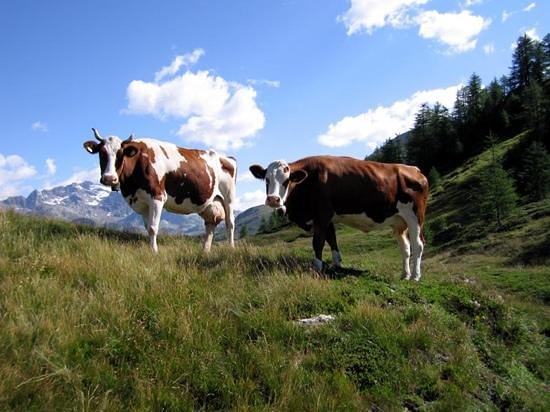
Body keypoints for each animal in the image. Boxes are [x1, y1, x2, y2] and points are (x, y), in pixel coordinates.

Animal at [84, 128, 237, 251]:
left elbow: (153, 228)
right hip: (208, 201)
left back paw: (231, 248)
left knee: (230, 222)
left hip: (229, 196)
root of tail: (226, 157)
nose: (109, 178)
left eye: (121, 154)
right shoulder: (143, 203)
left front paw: (154, 251)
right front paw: (150, 249)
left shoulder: (157, 196)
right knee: (211, 222)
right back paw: (205, 250)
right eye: (101, 153)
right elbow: (147, 228)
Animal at [251, 156, 432, 282]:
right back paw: (404, 275)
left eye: (286, 180)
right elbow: (332, 239)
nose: (273, 200)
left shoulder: (322, 214)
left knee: (418, 244)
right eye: (266, 179)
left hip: (415, 216)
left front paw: (317, 267)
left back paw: (415, 276)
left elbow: (318, 242)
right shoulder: (327, 218)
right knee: (405, 247)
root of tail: (413, 169)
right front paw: (337, 263)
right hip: (399, 222)